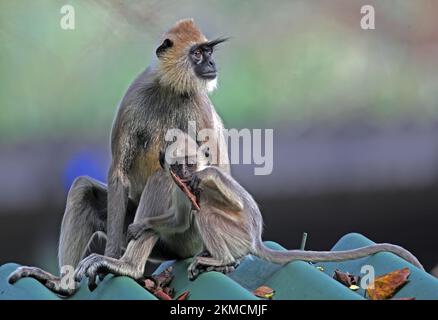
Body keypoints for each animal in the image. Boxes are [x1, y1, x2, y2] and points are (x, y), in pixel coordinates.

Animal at [8, 19, 231, 296]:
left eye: (208, 52)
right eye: (198, 53)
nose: (211, 64)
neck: (168, 89)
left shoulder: (198, 105)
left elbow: (213, 170)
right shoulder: (135, 95)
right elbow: (118, 174)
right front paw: (110, 256)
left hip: (188, 234)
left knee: (164, 178)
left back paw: (130, 267)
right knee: (84, 189)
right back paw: (67, 283)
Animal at [128, 133, 422, 280]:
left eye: (190, 163)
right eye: (178, 166)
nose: (187, 173)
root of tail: (255, 240)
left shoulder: (208, 175)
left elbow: (233, 200)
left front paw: (205, 180)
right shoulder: (178, 185)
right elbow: (179, 220)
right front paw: (142, 225)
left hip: (239, 234)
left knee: (207, 214)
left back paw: (221, 258)